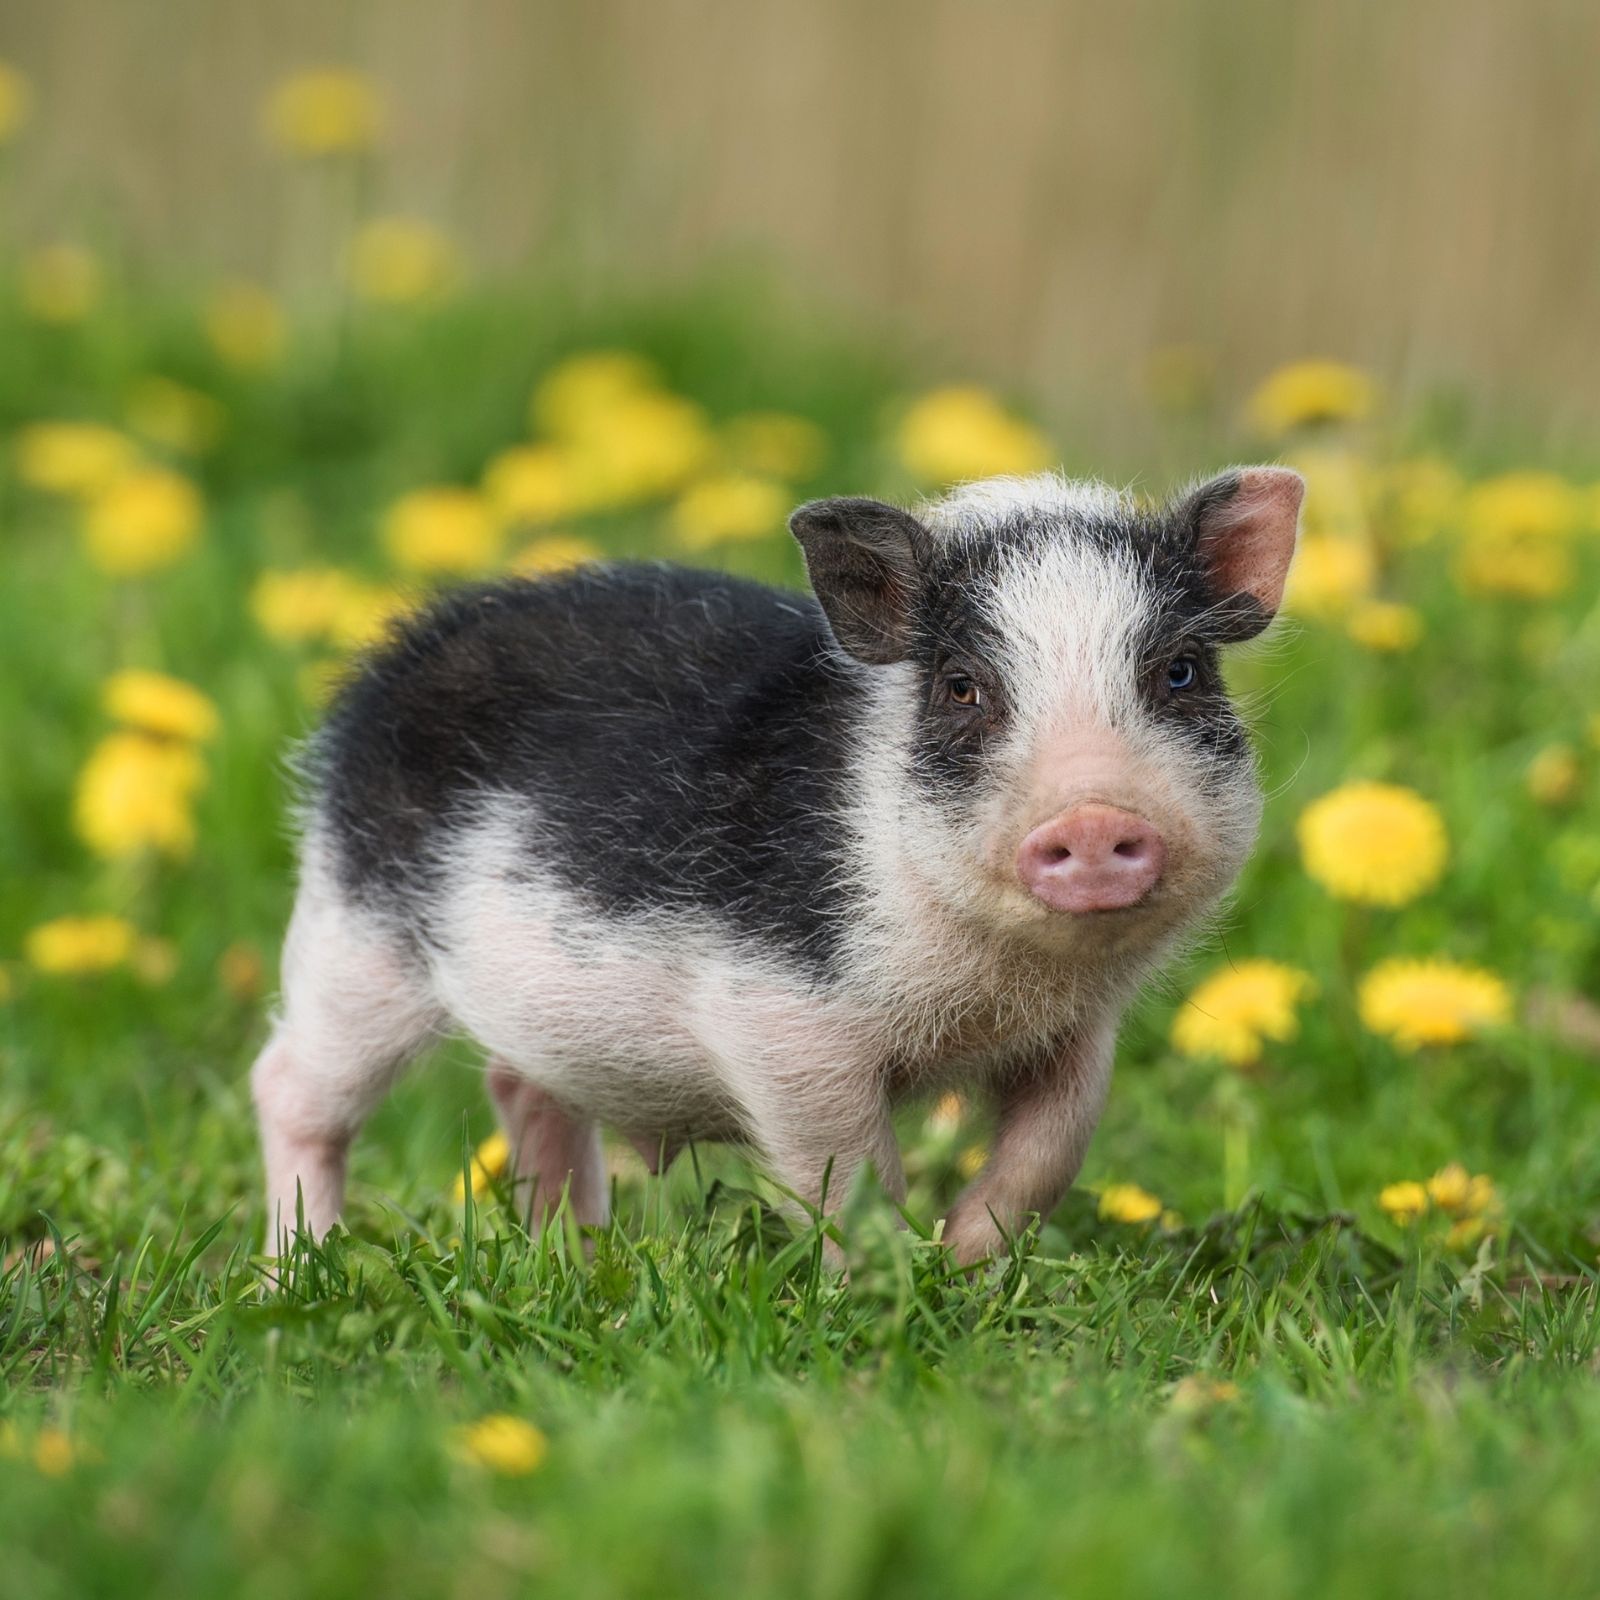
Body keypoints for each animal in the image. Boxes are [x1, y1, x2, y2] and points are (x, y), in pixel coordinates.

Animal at [252, 466, 1301, 1264]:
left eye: (1180, 672)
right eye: (963, 687)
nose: (1091, 817)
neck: (993, 986)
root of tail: (387, 664)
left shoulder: (1078, 1032)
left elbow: (1053, 1147)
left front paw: (965, 1262)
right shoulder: (781, 1017)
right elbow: (846, 1167)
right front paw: (882, 1280)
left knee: (521, 1085)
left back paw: (576, 1261)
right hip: (359, 926)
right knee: (292, 1086)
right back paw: (296, 1269)